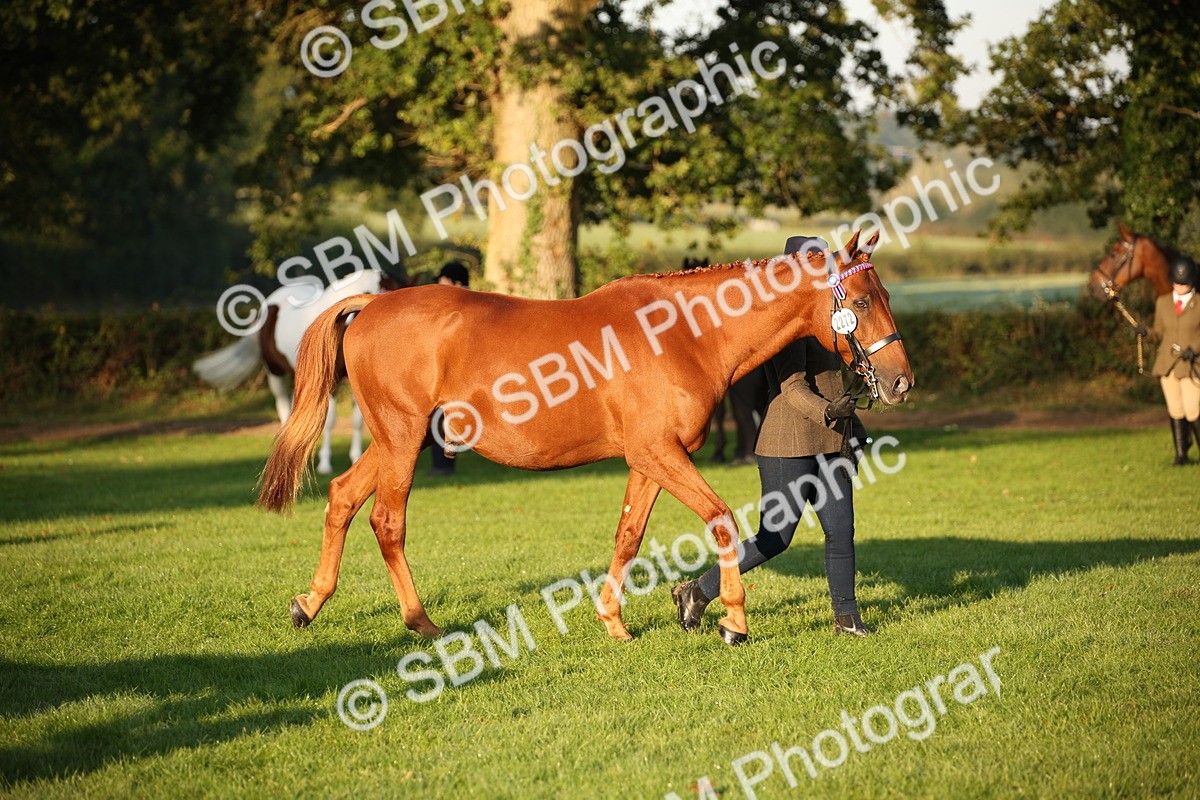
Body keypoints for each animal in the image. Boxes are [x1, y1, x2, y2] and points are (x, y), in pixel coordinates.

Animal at [194, 268, 397, 474]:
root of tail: (270, 303)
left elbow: (358, 420)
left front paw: (355, 458)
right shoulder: (330, 381)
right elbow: (330, 420)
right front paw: (325, 464)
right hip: (275, 373)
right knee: (283, 407)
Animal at [258, 230, 912, 646]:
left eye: (884, 295)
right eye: (858, 301)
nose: (901, 380)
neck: (683, 333)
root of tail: (371, 305)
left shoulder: (650, 459)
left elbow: (628, 535)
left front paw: (616, 622)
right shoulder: (660, 454)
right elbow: (723, 519)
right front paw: (733, 623)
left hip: (401, 440)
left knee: (343, 497)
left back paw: (307, 604)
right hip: (401, 439)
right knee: (386, 522)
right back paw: (421, 624)